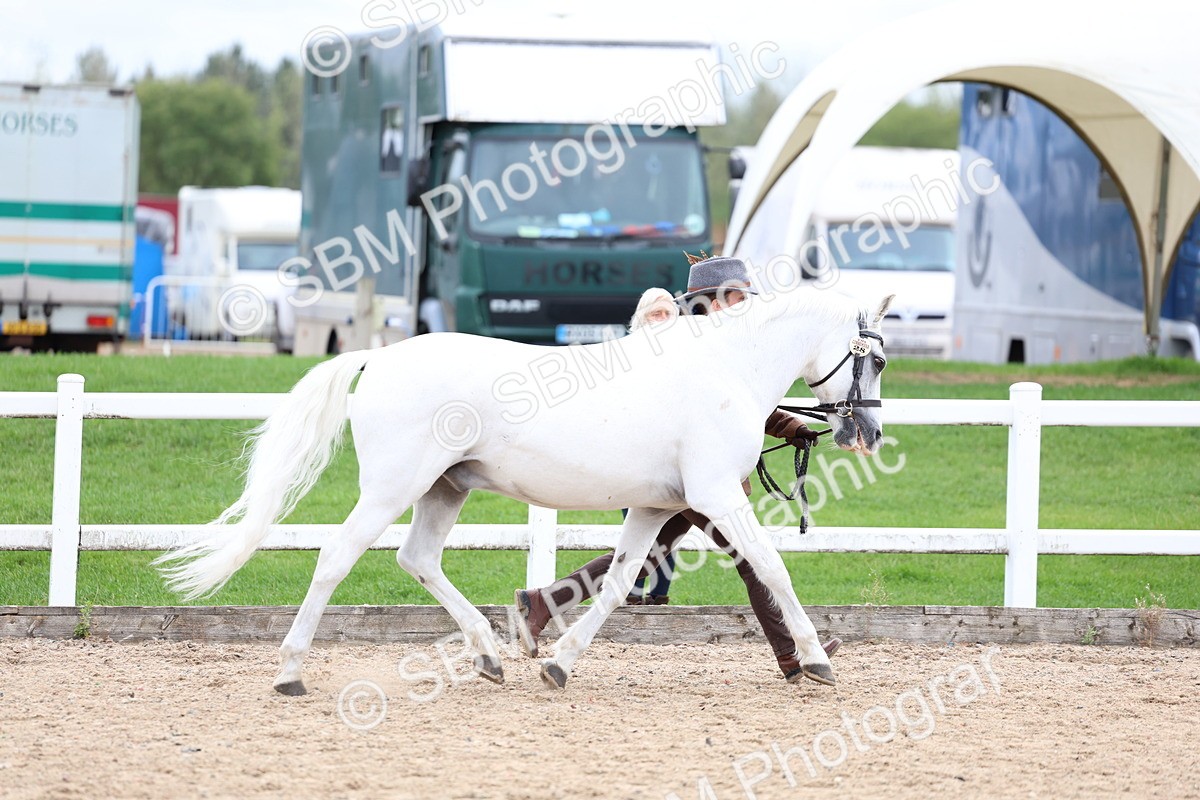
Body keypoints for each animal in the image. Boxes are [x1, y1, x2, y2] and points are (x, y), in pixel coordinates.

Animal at [156, 288, 894, 695]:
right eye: (879, 358)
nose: (868, 433)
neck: (725, 368)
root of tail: (378, 356)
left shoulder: (657, 506)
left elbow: (618, 585)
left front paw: (559, 665)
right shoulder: (717, 497)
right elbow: (772, 569)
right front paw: (818, 661)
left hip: (444, 490)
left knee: (417, 559)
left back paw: (490, 653)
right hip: (394, 488)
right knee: (337, 559)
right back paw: (290, 673)